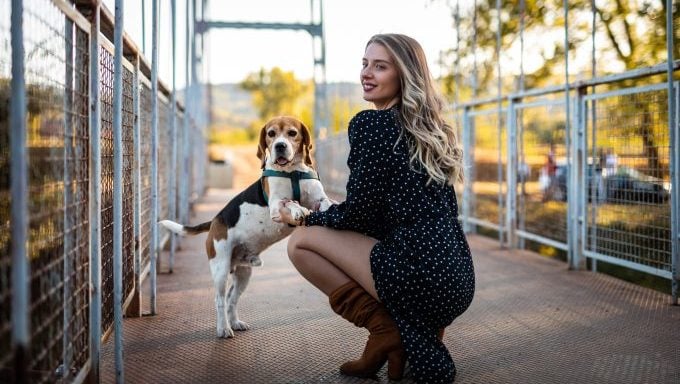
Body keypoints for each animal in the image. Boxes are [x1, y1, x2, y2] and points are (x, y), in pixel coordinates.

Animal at [157, 115, 332, 338]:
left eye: (292, 133)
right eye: (271, 134)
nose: (280, 146)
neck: (293, 172)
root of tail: (215, 221)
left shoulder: (320, 200)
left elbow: (327, 204)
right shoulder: (276, 205)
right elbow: (290, 202)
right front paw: (297, 209)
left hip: (243, 273)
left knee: (232, 298)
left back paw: (235, 323)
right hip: (221, 269)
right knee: (219, 299)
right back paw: (224, 328)